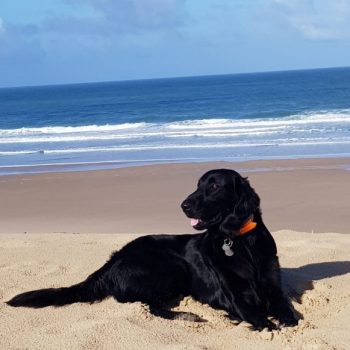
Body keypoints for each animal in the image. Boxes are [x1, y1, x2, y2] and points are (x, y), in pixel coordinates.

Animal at [6, 170, 296, 330]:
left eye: (213, 186)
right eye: (197, 185)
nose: (183, 205)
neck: (239, 240)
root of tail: (114, 260)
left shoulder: (273, 285)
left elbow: (286, 309)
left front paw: (286, 318)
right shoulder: (233, 296)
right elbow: (255, 314)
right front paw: (265, 324)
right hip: (171, 267)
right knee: (146, 305)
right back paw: (188, 315)